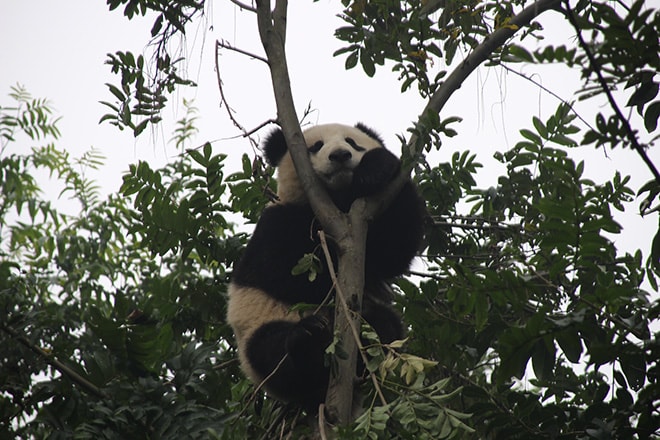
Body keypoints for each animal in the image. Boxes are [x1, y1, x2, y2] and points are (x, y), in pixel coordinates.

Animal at [226, 123, 422, 410]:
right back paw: (308, 341)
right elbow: (288, 275)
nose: (340, 155)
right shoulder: (279, 222)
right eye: (316, 146)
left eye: (352, 142)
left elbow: (394, 250)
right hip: (258, 326)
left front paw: (377, 167)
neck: (336, 201)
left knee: (386, 326)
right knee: (272, 352)